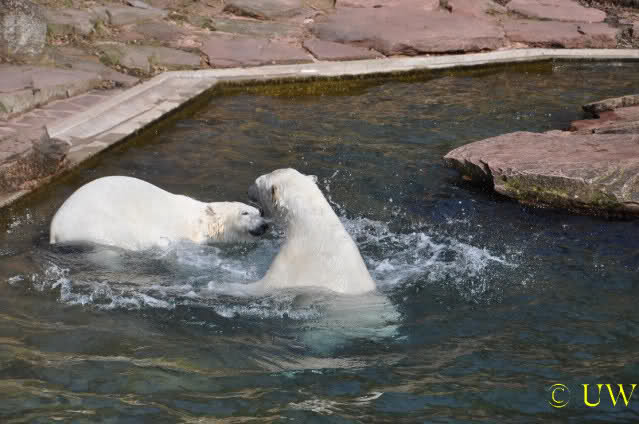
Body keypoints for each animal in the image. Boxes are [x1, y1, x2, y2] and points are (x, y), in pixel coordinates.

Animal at [50, 176, 269, 251]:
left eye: (259, 212)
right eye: (245, 213)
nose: (265, 225)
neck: (199, 221)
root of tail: (55, 228)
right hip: (93, 222)